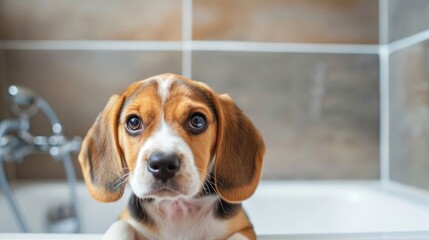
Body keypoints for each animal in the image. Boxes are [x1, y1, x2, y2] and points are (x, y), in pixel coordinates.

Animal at [78, 73, 262, 240]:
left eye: (197, 120)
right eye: (133, 122)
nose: (163, 164)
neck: (176, 206)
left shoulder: (246, 228)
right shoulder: (126, 218)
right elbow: (120, 226)